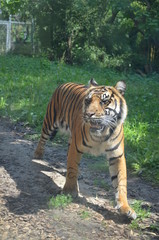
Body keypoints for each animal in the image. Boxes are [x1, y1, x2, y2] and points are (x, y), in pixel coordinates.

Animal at [34, 78, 137, 219]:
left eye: (104, 101)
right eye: (88, 101)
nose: (88, 114)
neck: (101, 135)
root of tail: (65, 83)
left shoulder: (117, 155)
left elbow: (120, 182)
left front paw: (125, 208)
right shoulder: (76, 148)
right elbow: (72, 169)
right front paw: (69, 191)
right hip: (50, 121)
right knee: (42, 138)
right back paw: (38, 154)